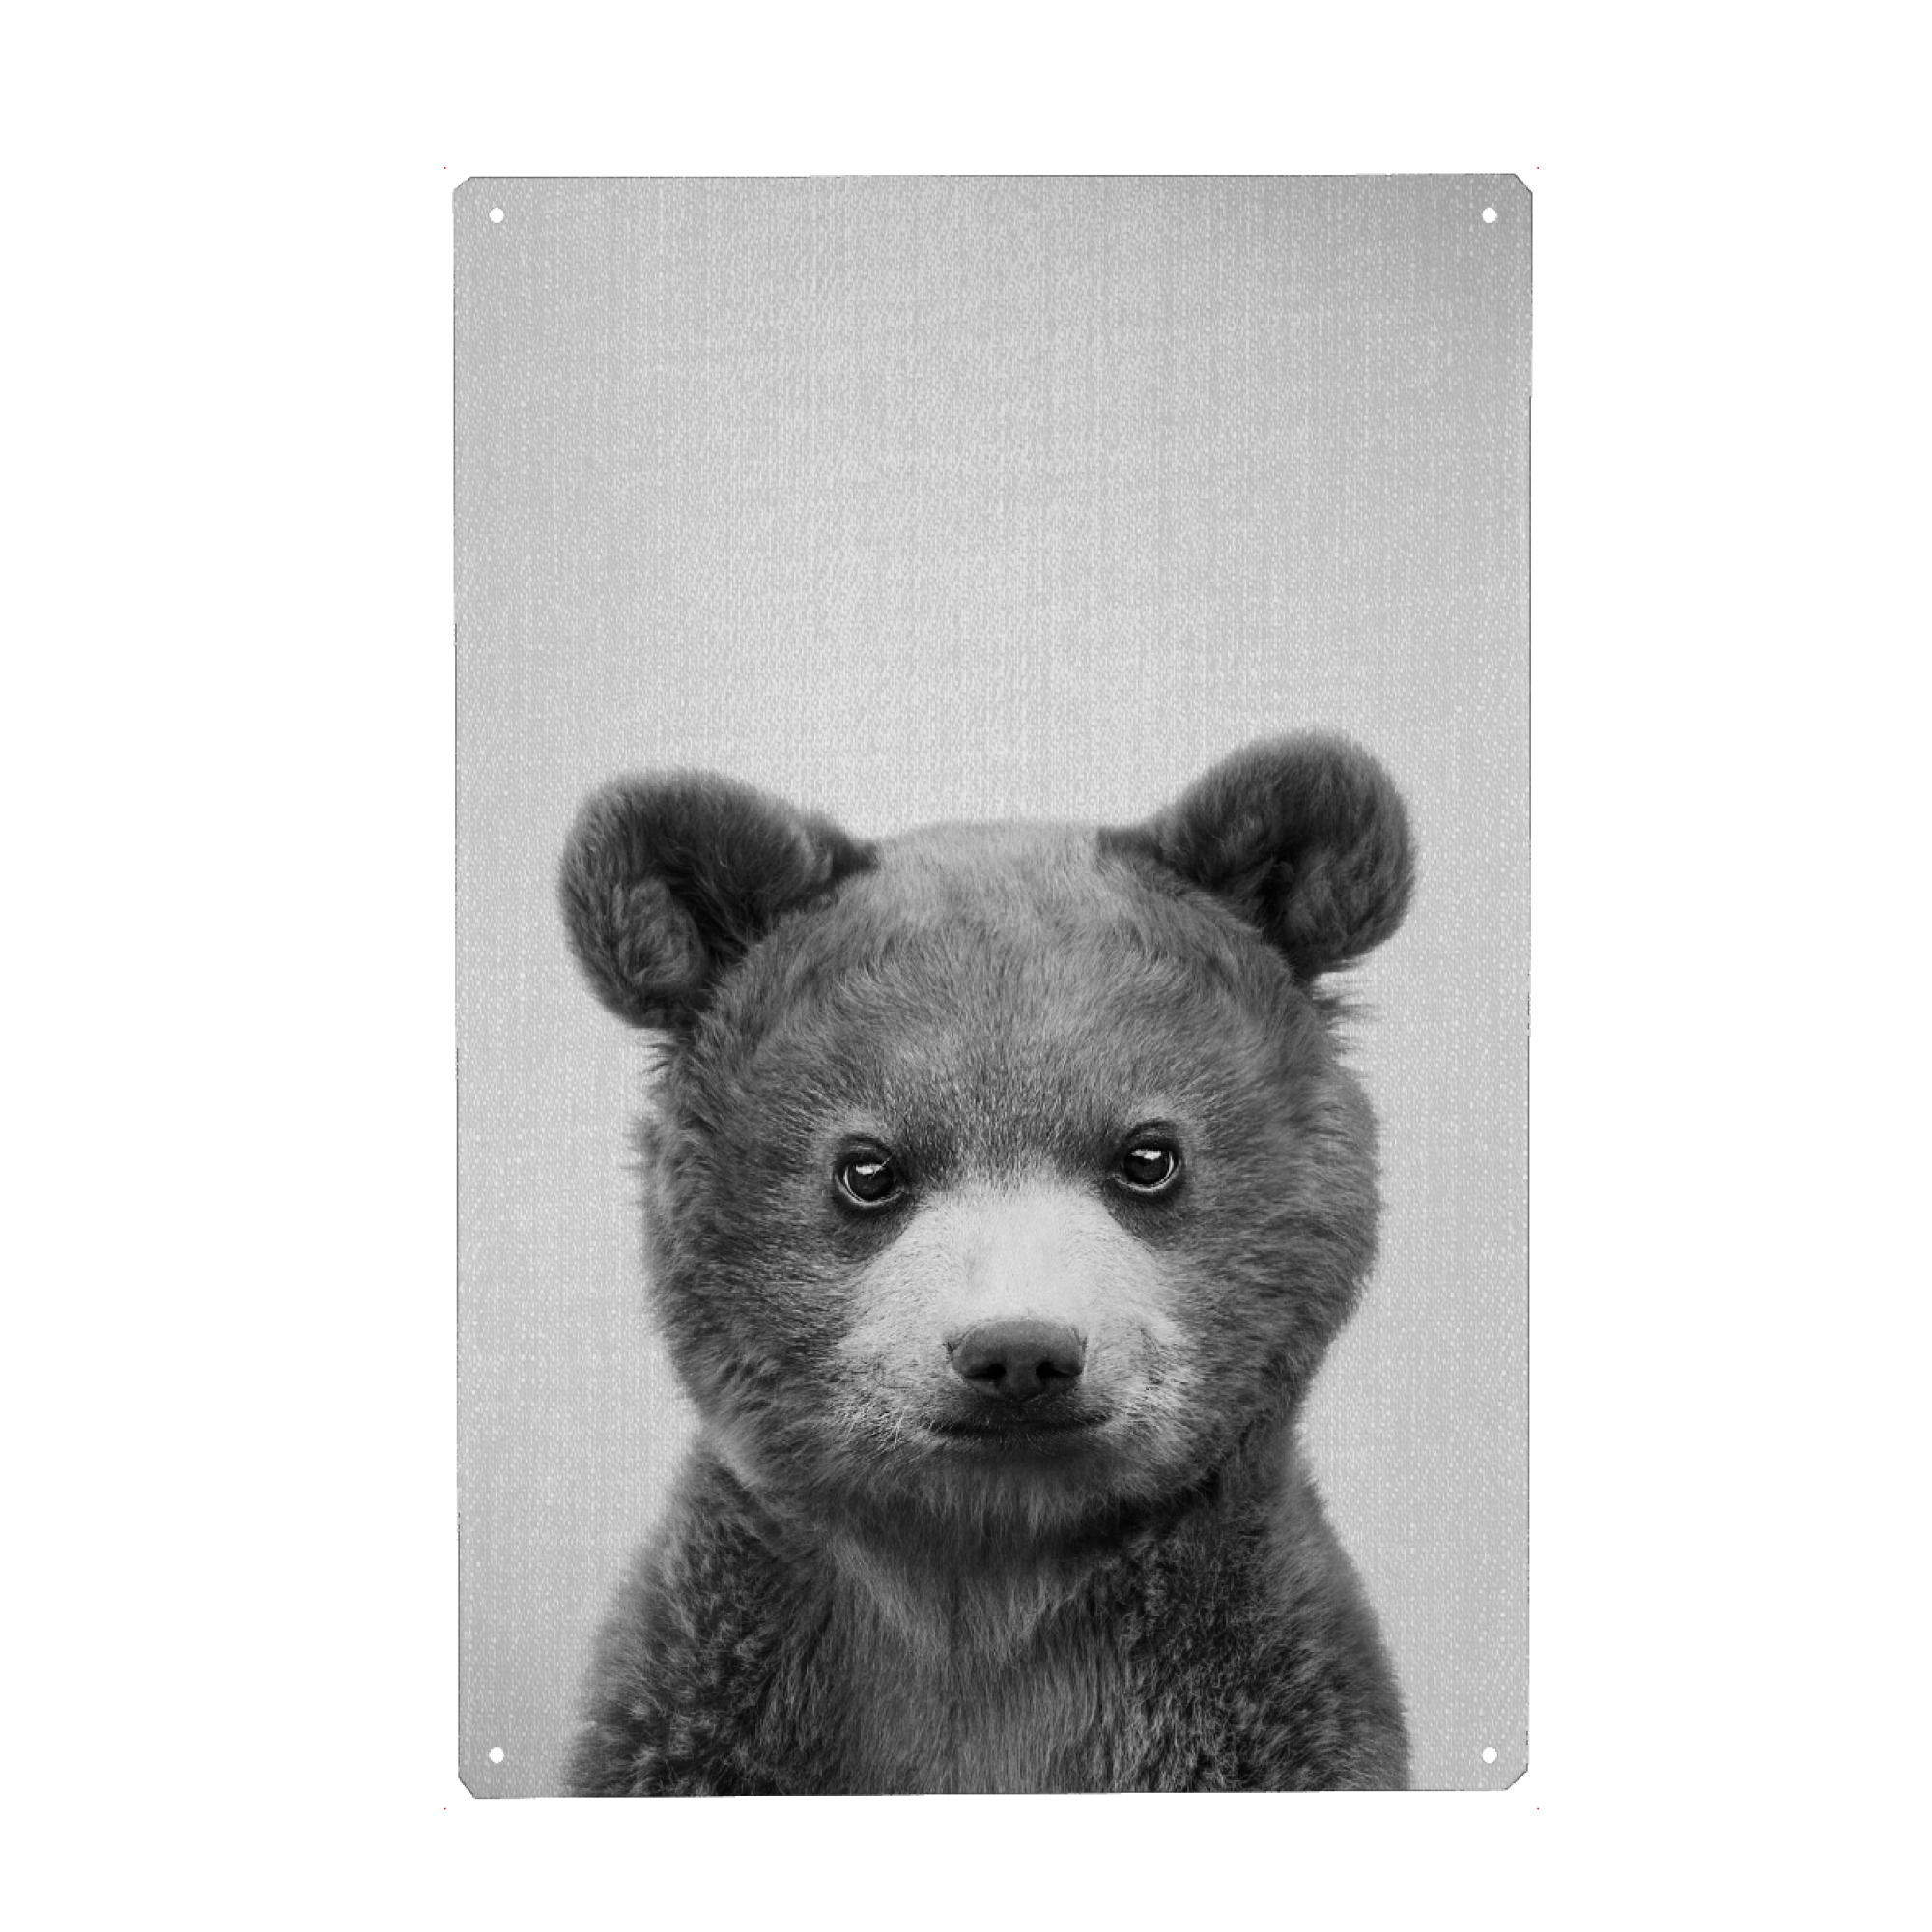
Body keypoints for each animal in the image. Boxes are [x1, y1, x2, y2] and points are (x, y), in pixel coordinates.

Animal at [557, 732, 1414, 1794]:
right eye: (867, 1168)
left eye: (1148, 1154)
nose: (1018, 1351)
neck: (987, 1569)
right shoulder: (711, 1696)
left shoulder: (1261, 1702)